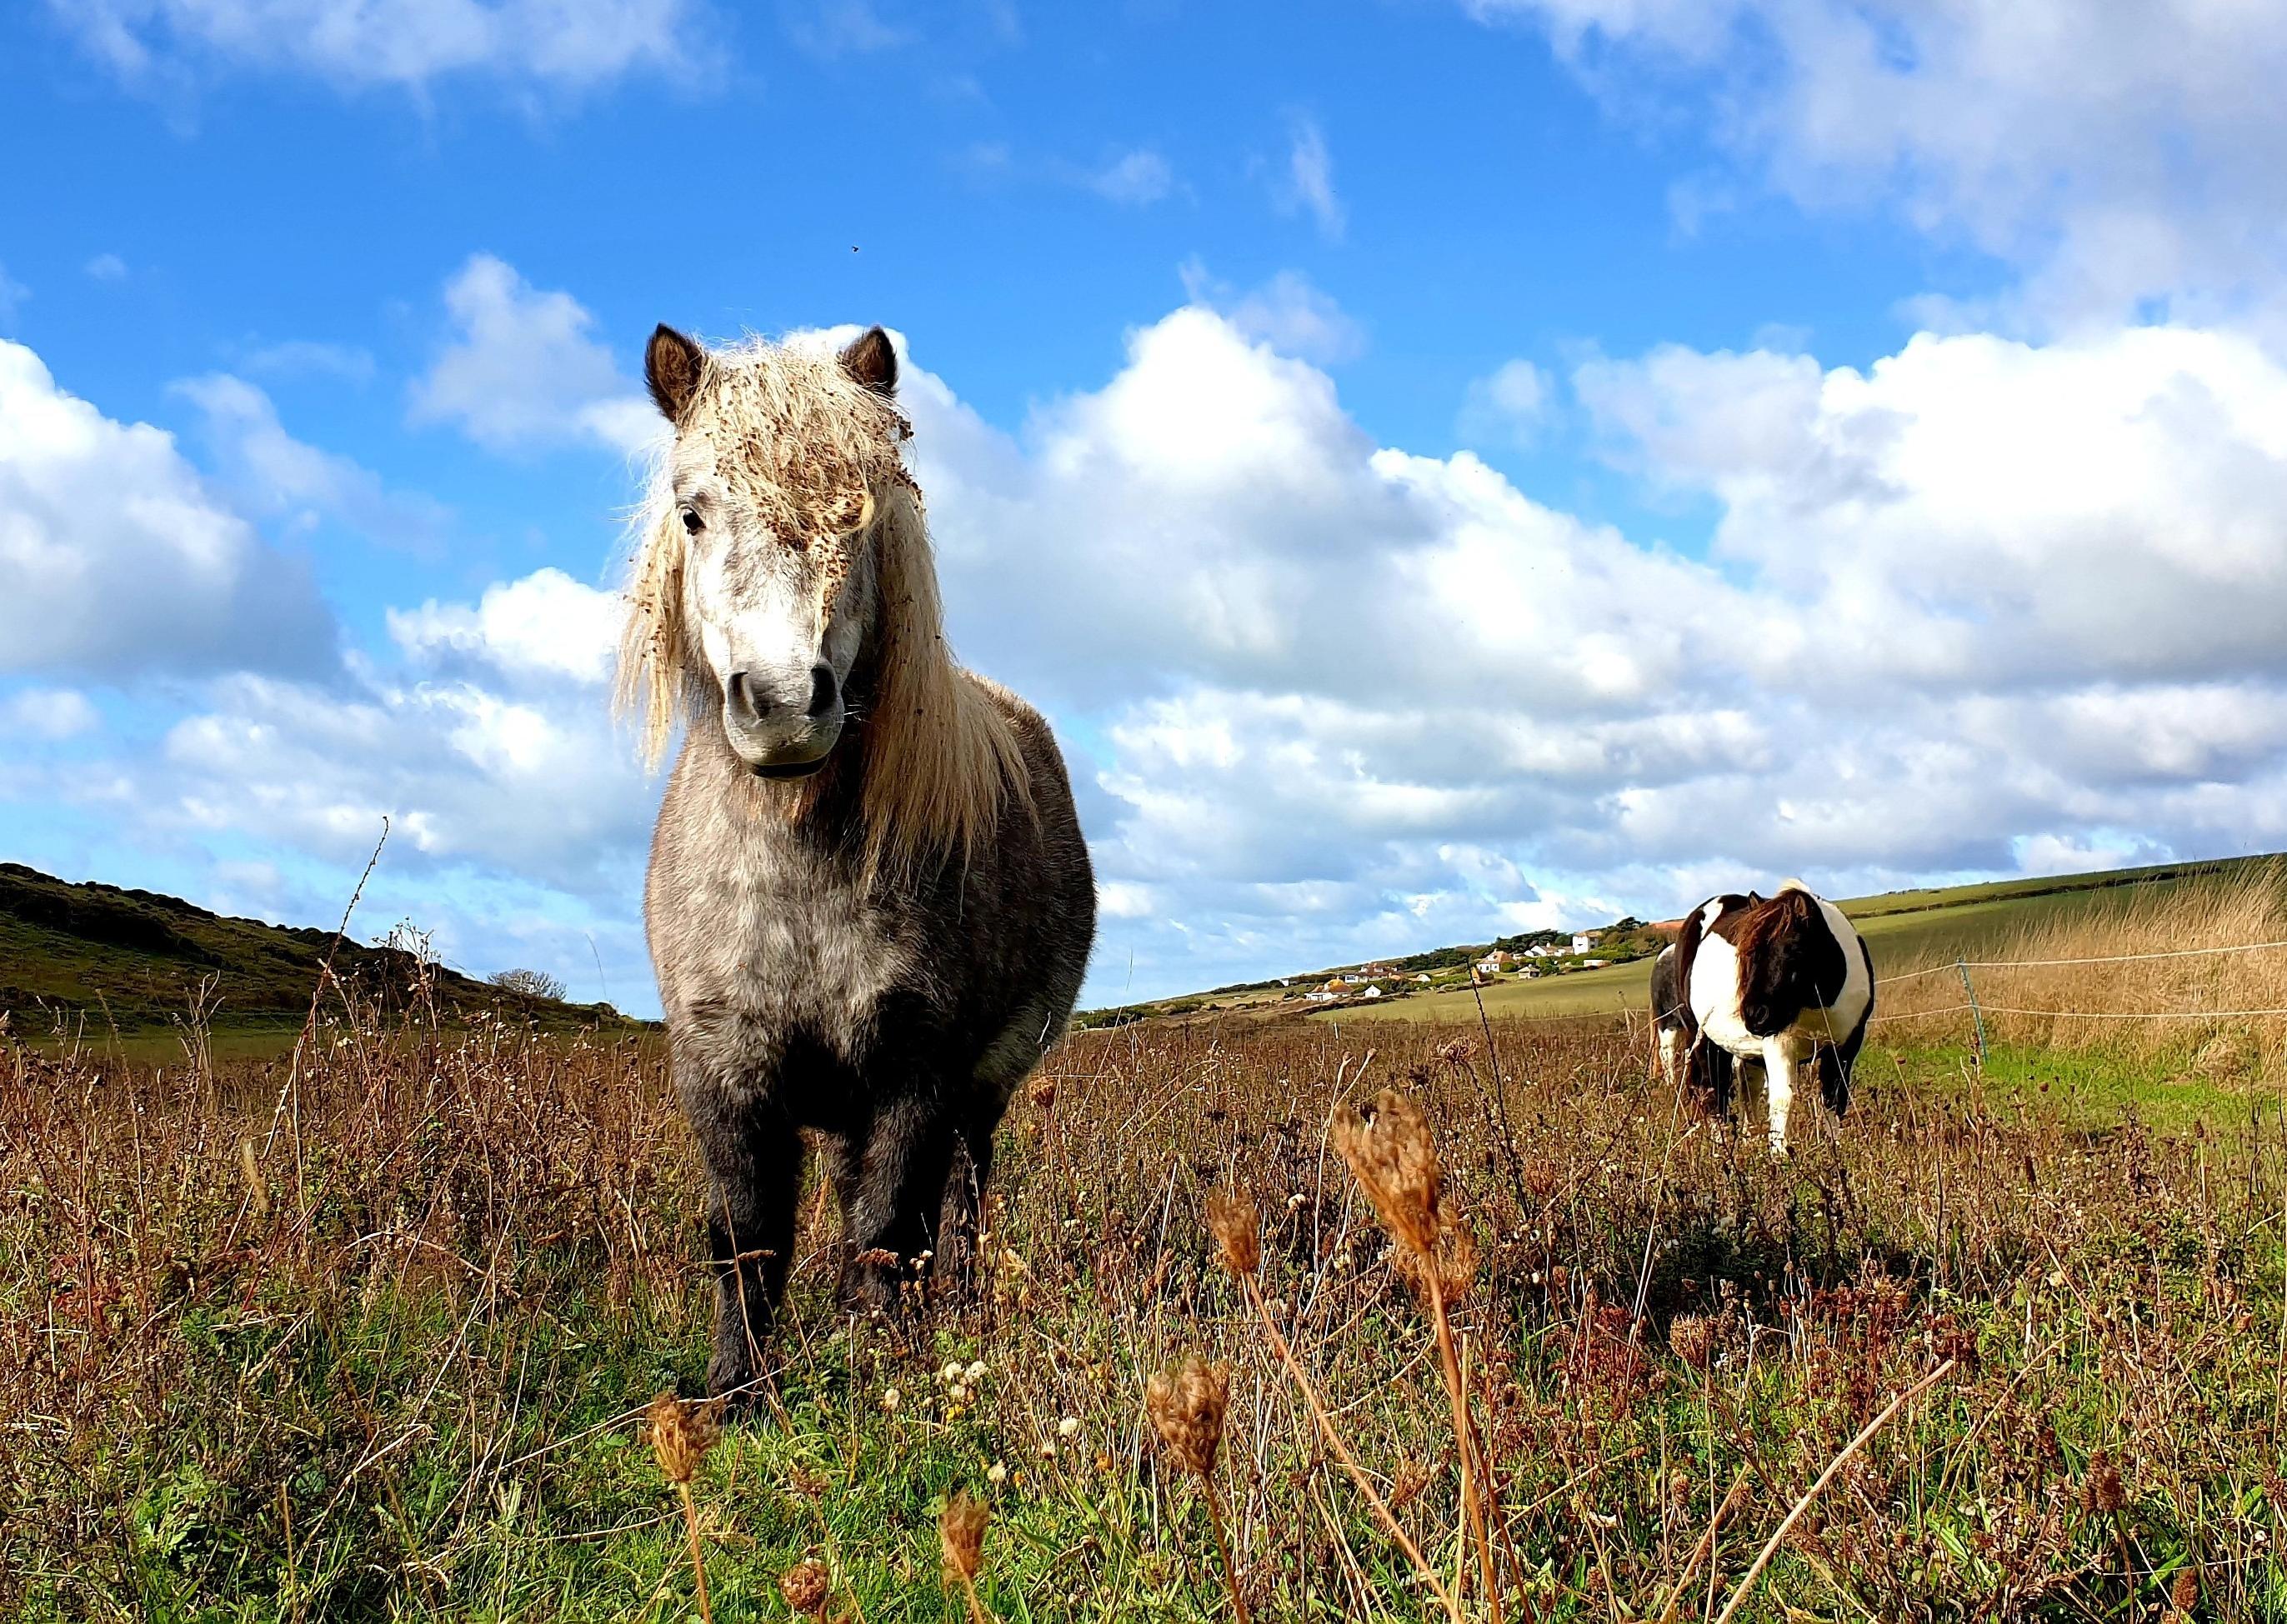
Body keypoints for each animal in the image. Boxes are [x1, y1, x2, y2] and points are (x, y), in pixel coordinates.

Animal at [619, 323, 1096, 1399]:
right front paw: (734, 1392)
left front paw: (886, 1375)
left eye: (861, 514)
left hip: (976, 1092)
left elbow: (890, 1227)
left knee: (960, 1199)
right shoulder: (720, 1068)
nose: (786, 701)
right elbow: (747, 1236)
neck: (796, 880)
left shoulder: (915, 1071)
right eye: (693, 513)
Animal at [1651, 881, 1873, 1154]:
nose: (1754, 1016)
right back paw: (1722, 1145)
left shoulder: (1846, 1046)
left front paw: (1835, 1149)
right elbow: (1783, 1097)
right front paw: (1780, 1154)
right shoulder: (1778, 1042)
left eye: (1794, 950)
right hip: (1700, 1037)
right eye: (1745, 953)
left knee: (1748, 1084)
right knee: (1714, 1087)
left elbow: (1835, 1097)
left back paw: (1749, 1136)